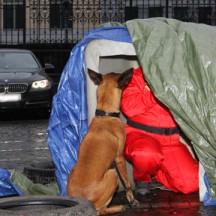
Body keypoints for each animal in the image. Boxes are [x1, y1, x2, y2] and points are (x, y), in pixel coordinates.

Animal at [66, 68, 139, 215]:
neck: (105, 114)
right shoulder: (119, 158)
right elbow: (127, 183)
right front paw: (132, 200)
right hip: (113, 174)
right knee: (101, 211)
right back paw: (119, 207)